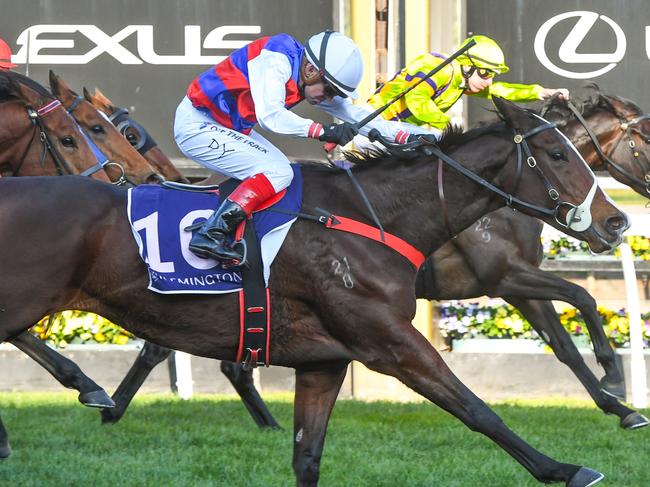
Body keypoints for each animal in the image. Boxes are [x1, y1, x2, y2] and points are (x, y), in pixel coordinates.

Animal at [0, 97, 624, 486]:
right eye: (558, 155)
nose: (616, 221)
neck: (374, 218)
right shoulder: (390, 341)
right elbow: (477, 409)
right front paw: (568, 465)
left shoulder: (324, 361)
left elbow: (308, 457)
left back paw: (89, 394)